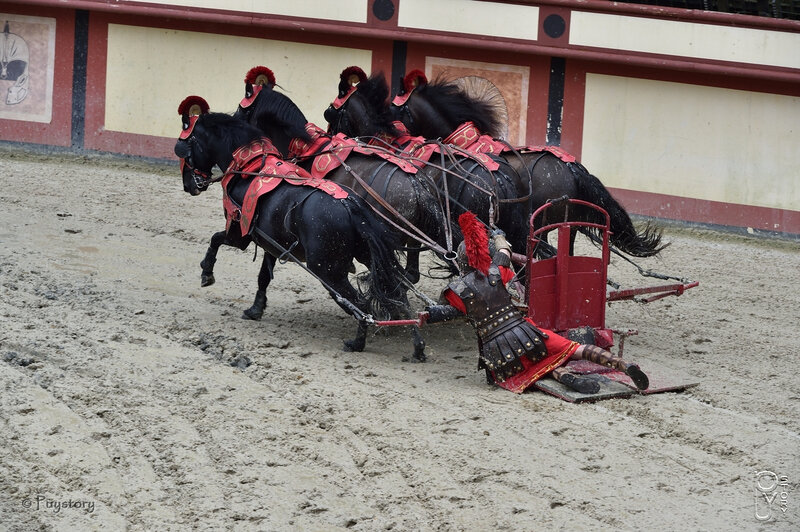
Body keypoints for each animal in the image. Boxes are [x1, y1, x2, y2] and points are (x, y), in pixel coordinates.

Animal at [173, 105, 428, 358]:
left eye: (184, 149)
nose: (188, 186)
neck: (250, 169)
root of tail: (350, 205)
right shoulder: (272, 243)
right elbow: (263, 276)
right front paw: (256, 308)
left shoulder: (239, 234)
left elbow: (215, 239)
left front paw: (207, 272)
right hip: (369, 257)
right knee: (399, 293)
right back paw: (417, 345)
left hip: (328, 271)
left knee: (362, 305)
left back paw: (358, 341)